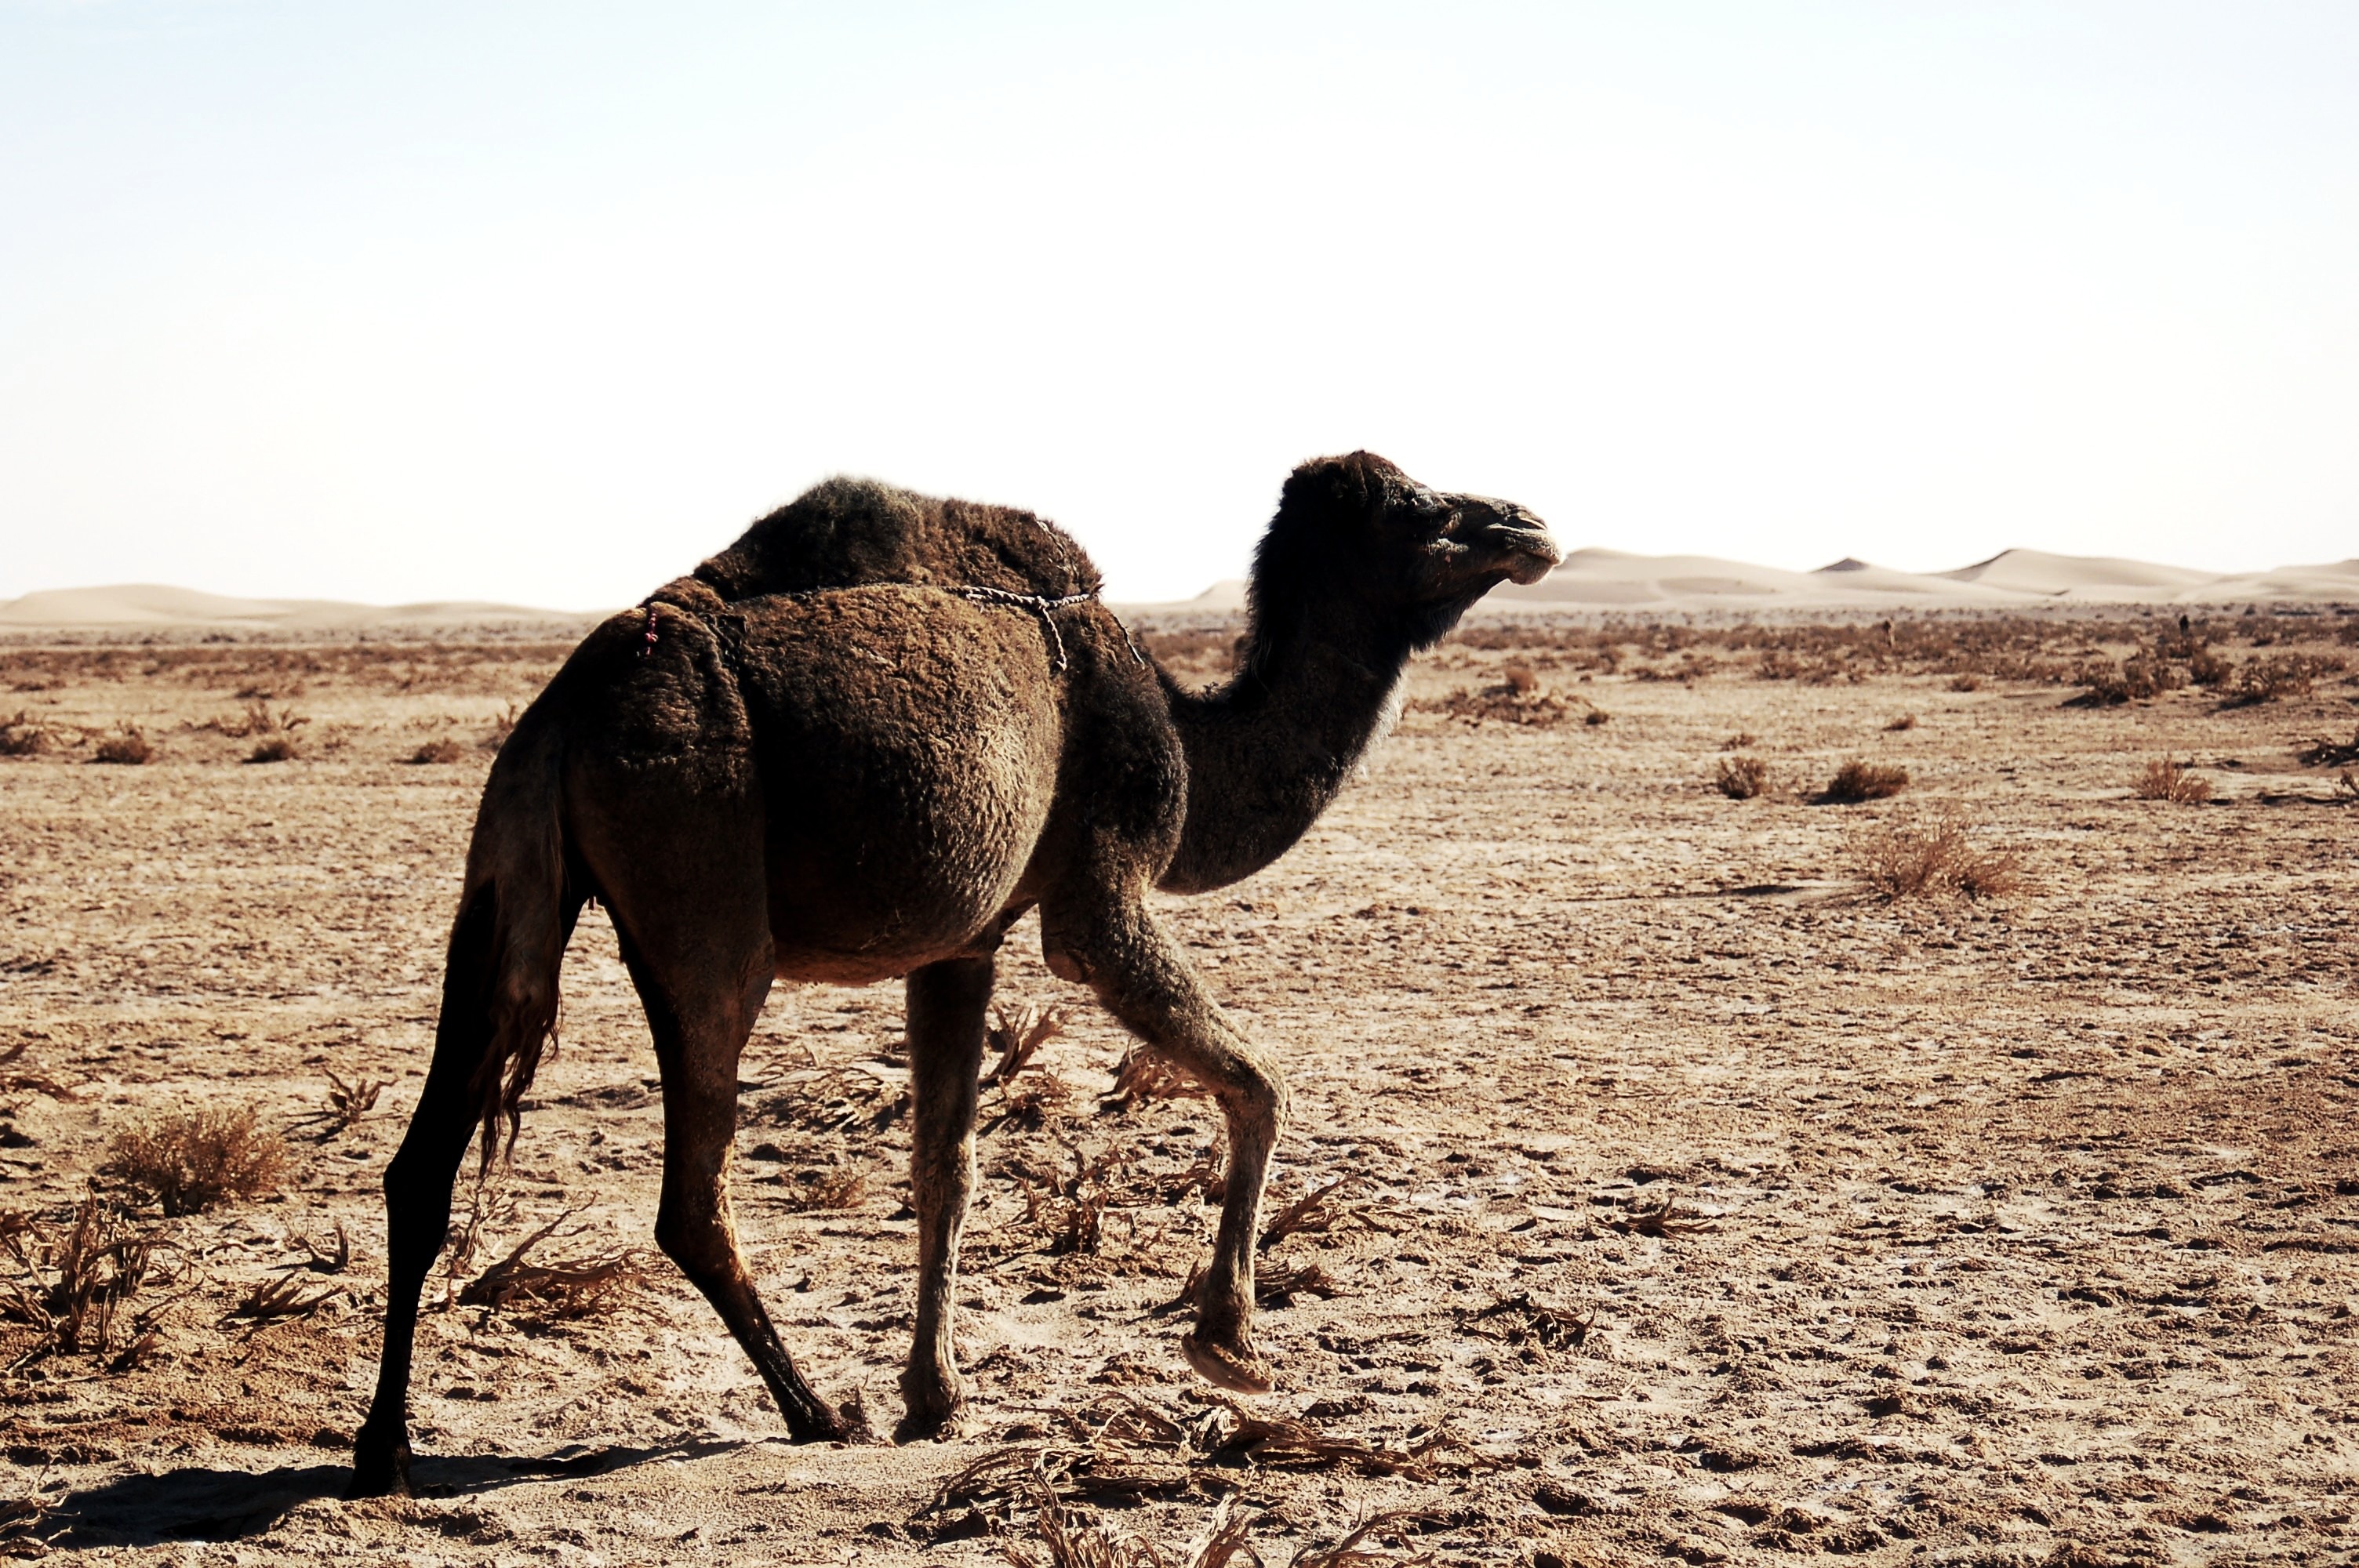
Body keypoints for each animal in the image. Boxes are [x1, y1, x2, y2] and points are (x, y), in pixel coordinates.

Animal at [350, 451, 1557, 1496]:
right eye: (1413, 506)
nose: (1527, 525)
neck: (1181, 726)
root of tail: (565, 707)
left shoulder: (959, 944)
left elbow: (946, 1165)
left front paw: (935, 1397)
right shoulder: (1098, 891)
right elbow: (1260, 1081)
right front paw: (1227, 1343)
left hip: (503, 883)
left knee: (425, 1156)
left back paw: (386, 1450)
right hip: (700, 868)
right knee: (692, 1191)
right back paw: (814, 1411)